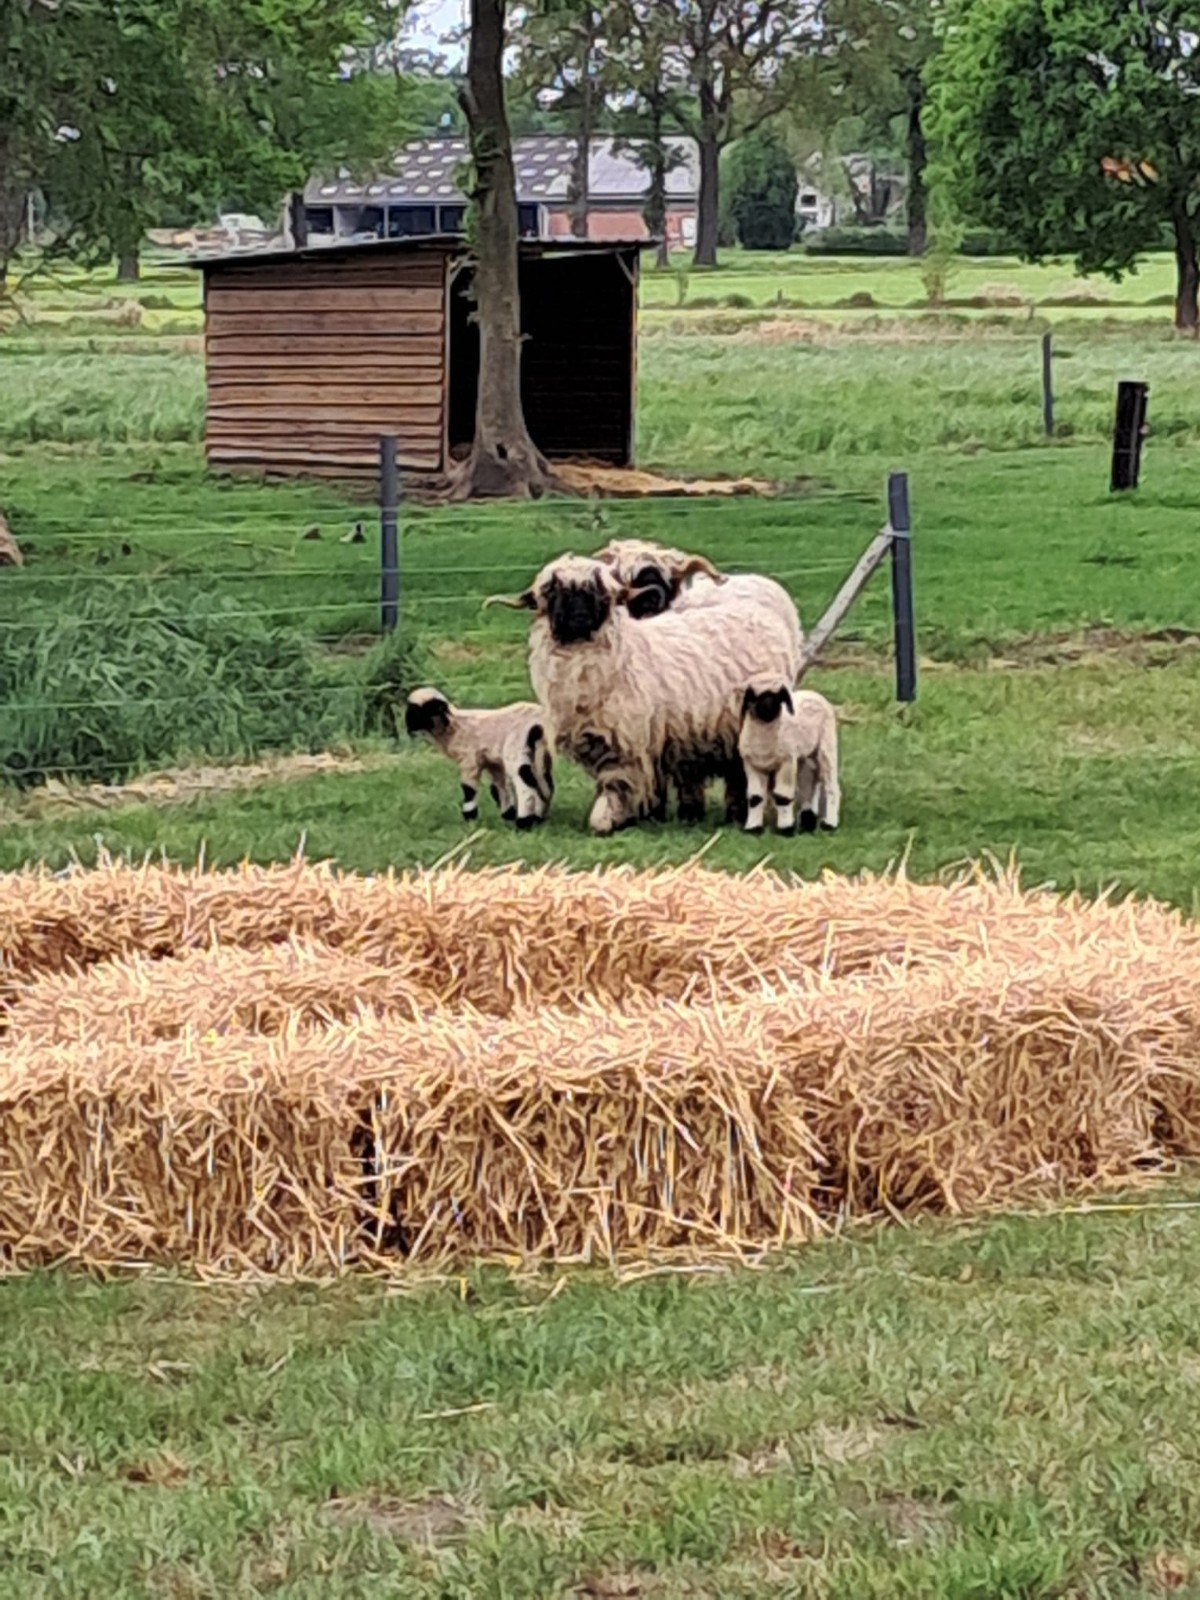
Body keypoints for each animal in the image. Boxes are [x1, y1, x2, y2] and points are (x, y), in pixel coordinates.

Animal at [404, 687, 554, 830]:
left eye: (420, 711)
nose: (409, 727)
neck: (453, 728)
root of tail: (539, 723)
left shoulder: (469, 760)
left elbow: (469, 790)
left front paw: (470, 821)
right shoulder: (492, 763)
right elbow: (500, 788)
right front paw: (507, 817)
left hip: (516, 748)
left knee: (526, 787)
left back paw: (524, 823)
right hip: (539, 753)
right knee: (545, 785)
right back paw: (537, 819)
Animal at [486, 555, 801, 835]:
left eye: (600, 593)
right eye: (552, 591)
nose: (579, 618)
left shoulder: (625, 744)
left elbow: (616, 789)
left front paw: (610, 819)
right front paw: (644, 815)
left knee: (738, 775)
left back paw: (735, 813)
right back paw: (694, 813)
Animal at [737, 681, 840, 836]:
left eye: (778, 697)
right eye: (754, 697)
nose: (768, 708)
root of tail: (814, 694)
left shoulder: (787, 762)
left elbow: (782, 797)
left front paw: (785, 828)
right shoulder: (752, 766)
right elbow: (755, 797)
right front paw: (753, 828)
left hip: (826, 745)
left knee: (830, 785)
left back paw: (829, 823)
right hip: (805, 755)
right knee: (810, 783)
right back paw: (808, 820)